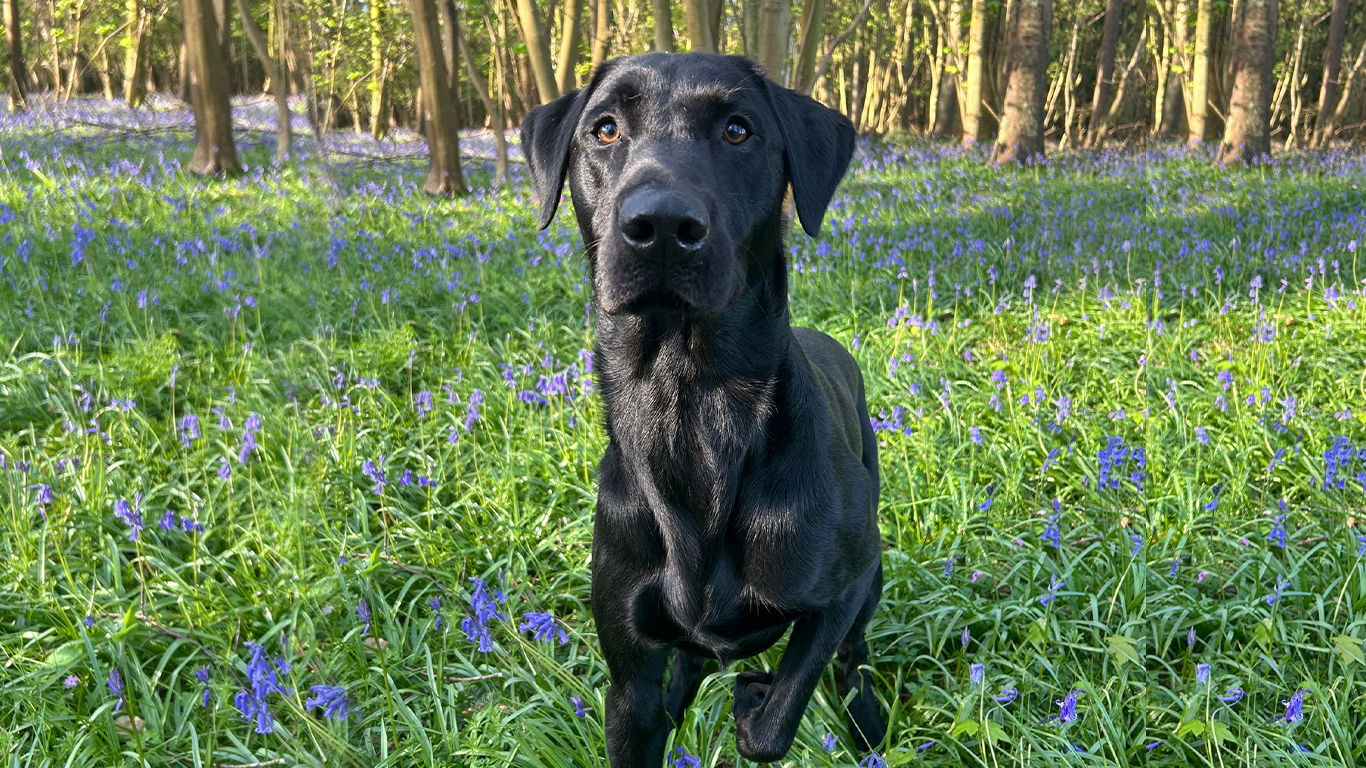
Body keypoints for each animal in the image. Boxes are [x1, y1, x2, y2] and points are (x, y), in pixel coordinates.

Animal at [521, 52, 885, 759]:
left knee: (851, 659)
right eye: (605, 128)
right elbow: (653, 703)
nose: (661, 225)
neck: (689, 407)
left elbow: (773, 723)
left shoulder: (843, 587)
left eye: (738, 130)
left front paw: (755, 699)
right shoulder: (629, 680)